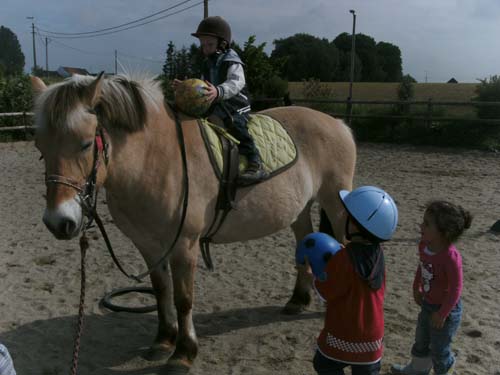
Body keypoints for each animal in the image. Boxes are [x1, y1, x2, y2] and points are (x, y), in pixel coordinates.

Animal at [30, 73, 356, 374]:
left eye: (86, 144)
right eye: (40, 147)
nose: (58, 222)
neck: (154, 159)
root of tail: (338, 124)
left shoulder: (184, 245)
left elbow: (184, 299)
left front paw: (183, 354)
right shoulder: (149, 246)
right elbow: (162, 290)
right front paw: (163, 341)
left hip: (335, 203)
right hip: (300, 210)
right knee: (304, 243)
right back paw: (298, 300)